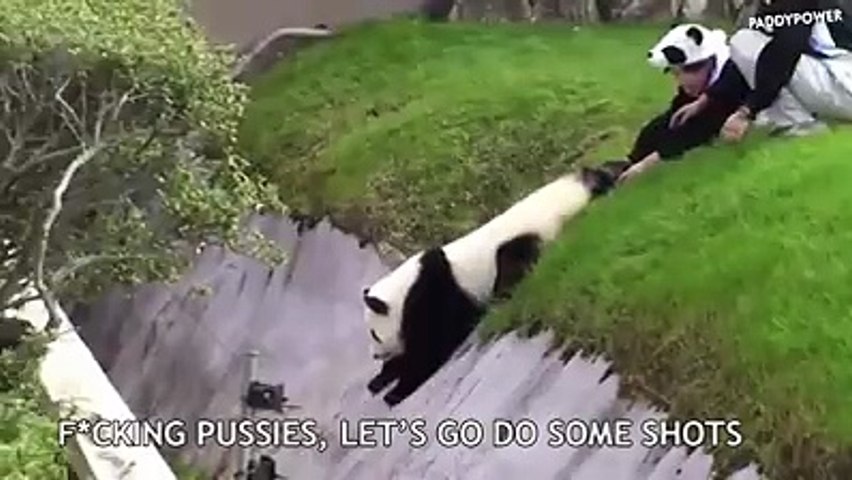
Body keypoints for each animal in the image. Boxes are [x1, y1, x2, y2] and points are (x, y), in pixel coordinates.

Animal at [361, 165, 620, 407]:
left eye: (375, 334)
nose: (374, 355)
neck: (404, 288)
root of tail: (581, 186)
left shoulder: (433, 292)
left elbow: (433, 345)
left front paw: (396, 389)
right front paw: (380, 378)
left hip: (522, 239)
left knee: (513, 262)